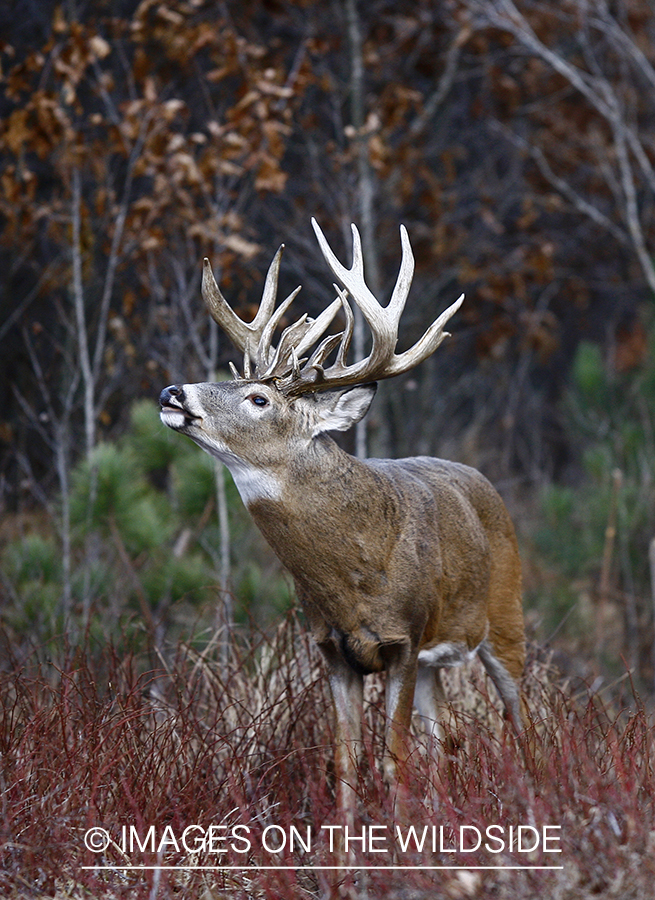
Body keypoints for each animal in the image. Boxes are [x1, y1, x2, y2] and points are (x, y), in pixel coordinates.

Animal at [160, 221, 528, 812]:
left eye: (259, 398)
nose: (173, 391)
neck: (355, 576)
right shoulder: (332, 648)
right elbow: (347, 763)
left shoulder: (404, 640)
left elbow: (394, 760)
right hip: (435, 658)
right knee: (445, 737)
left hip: (505, 614)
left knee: (524, 722)